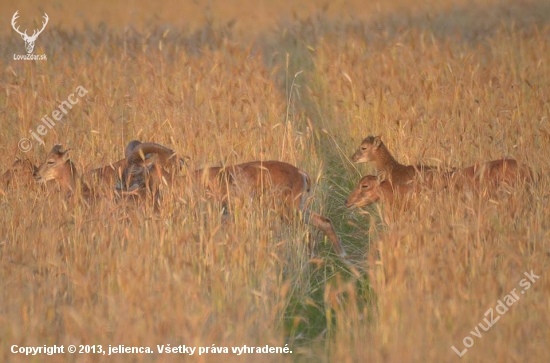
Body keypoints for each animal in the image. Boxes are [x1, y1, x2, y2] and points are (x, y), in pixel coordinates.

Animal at [119, 142, 350, 258]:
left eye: (136, 170)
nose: (120, 188)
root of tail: (300, 173)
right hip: (299, 210)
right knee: (324, 222)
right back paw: (343, 256)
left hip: (288, 212)